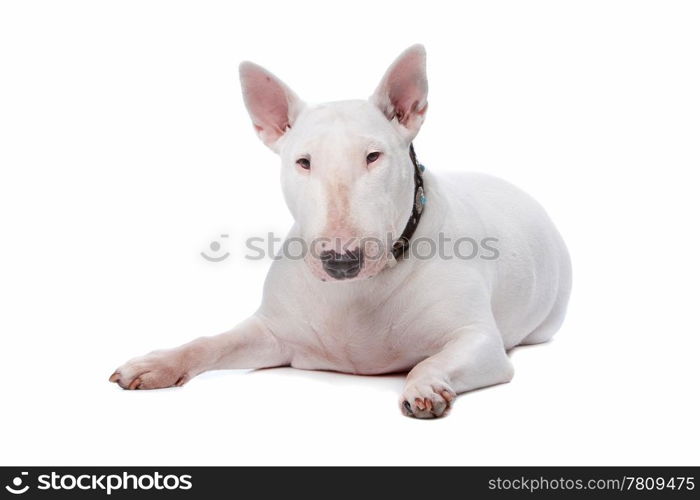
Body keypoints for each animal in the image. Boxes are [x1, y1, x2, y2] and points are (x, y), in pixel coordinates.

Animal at [108, 45, 568, 418]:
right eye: (303, 162)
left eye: (373, 156)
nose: (340, 261)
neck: (356, 293)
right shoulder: (273, 331)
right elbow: (210, 342)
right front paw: (154, 365)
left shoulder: (479, 339)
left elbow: (434, 358)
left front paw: (424, 387)